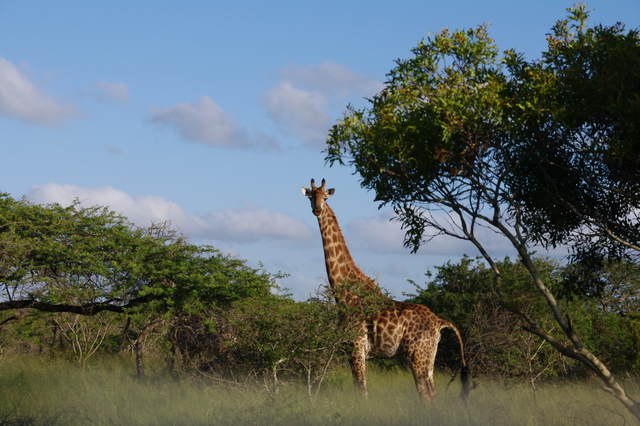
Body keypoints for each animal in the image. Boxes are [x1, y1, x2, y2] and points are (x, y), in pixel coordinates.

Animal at [300, 178, 470, 402]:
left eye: (325, 197)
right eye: (310, 197)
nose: (317, 209)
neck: (344, 294)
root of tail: (439, 322)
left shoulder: (356, 347)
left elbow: (362, 392)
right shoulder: (352, 349)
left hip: (417, 354)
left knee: (425, 393)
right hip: (429, 355)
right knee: (432, 392)